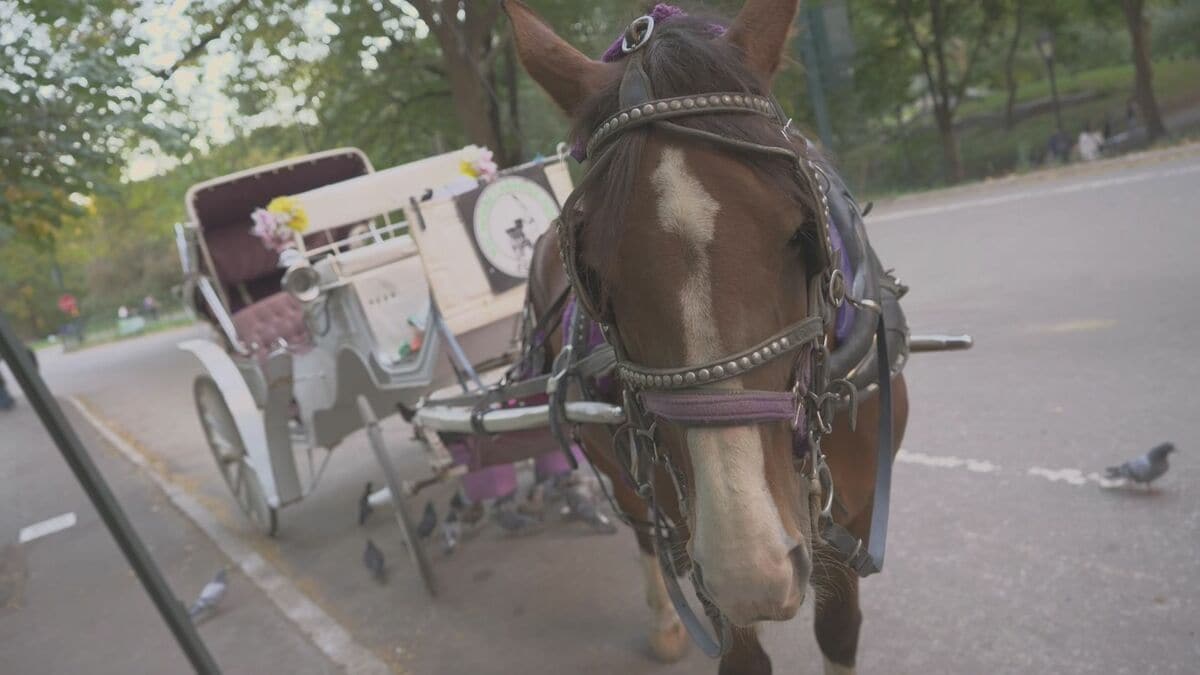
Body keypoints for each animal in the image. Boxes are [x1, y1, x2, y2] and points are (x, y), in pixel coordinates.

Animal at [507, 1, 910, 673]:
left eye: (805, 232)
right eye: (591, 275)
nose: (752, 568)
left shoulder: (849, 512)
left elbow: (838, 631)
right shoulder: (697, 537)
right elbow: (740, 651)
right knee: (643, 531)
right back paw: (665, 621)